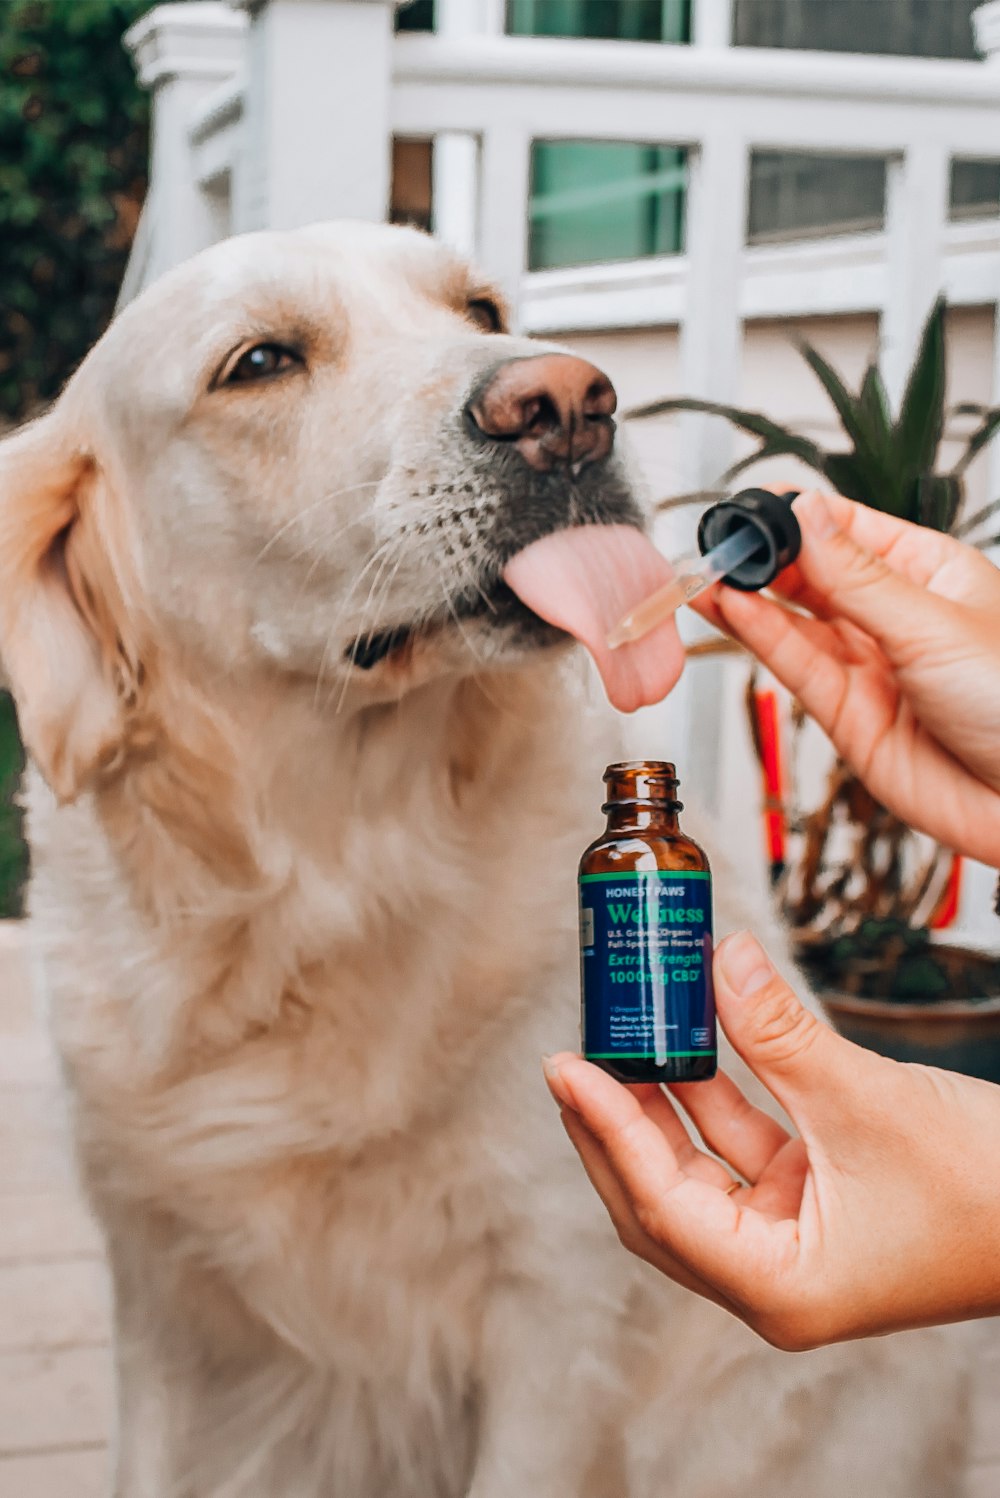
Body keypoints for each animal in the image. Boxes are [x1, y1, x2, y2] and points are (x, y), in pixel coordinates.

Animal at [0, 224, 970, 1498]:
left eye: (481, 309)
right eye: (258, 361)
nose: (568, 404)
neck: (334, 871)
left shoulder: (552, 1315)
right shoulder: (158, 1296)